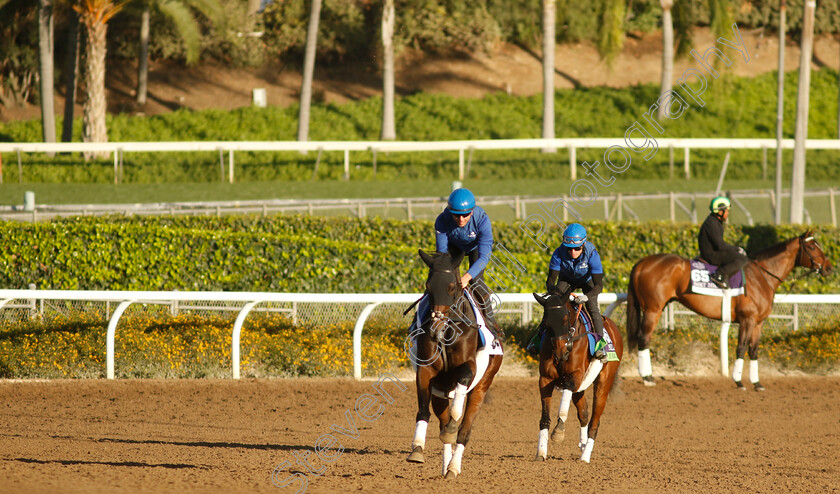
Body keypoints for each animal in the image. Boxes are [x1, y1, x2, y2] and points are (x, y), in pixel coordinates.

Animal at [406, 251, 502, 478]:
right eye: (428, 286)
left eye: (451, 287)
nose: (435, 328)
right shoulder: (426, 371)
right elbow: (423, 410)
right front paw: (417, 448)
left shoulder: (469, 367)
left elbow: (457, 413)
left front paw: (453, 425)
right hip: (440, 394)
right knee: (442, 422)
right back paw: (446, 464)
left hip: (481, 387)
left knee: (464, 431)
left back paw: (453, 467)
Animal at [532, 292, 624, 462]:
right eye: (546, 323)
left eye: (565, 319)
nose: (561, 351)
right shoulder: (545, 379)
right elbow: (545, 416)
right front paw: (540, 453)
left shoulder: (575, 376)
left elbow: (564, 404)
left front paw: (559, 431)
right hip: (580, 388)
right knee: (584, 414)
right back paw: (582, 445)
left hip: (603, 383)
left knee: (594, 421)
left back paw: (585, 456)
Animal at [628, 231, 832, 390]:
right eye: (812, 247)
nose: (829, 268)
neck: (761, 275)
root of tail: (642, 262)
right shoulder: (747, 319)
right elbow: (741, 347)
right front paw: (738, 381)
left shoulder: (758, 322)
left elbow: (754, 350)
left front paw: (757, 383)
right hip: (653, 309)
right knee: (644, 338)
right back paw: (647, 377)